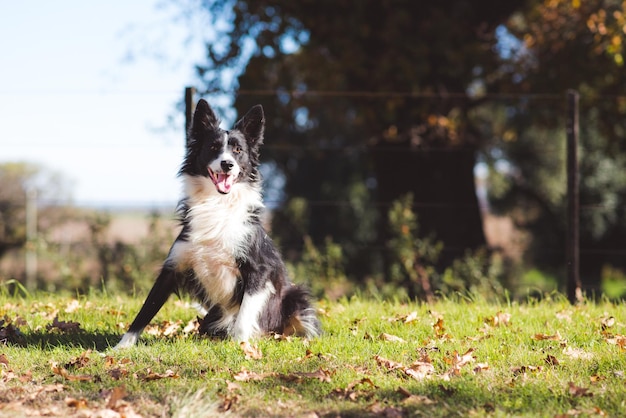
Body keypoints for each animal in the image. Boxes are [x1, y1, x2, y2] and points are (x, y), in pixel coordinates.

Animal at [116, 99, 320, 348]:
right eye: (213, 147)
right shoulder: (173, 267)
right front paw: (121, 347)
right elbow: (146, 308)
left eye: (238, 150)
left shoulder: (258, 269)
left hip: (297, 298)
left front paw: (241, 346)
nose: (227, 164)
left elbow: (244, 315)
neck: (217, 203)